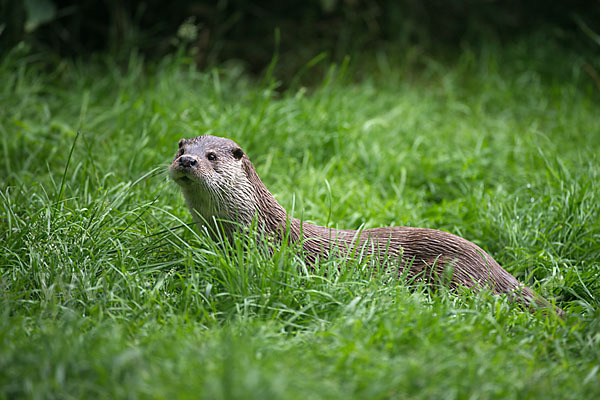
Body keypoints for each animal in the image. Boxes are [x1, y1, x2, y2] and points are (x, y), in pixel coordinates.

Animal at [169, 136, 564, 318]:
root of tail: (492, 263)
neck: (257, 226)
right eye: (180, 149)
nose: (187, 161)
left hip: (449, 270)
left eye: (211, 156)